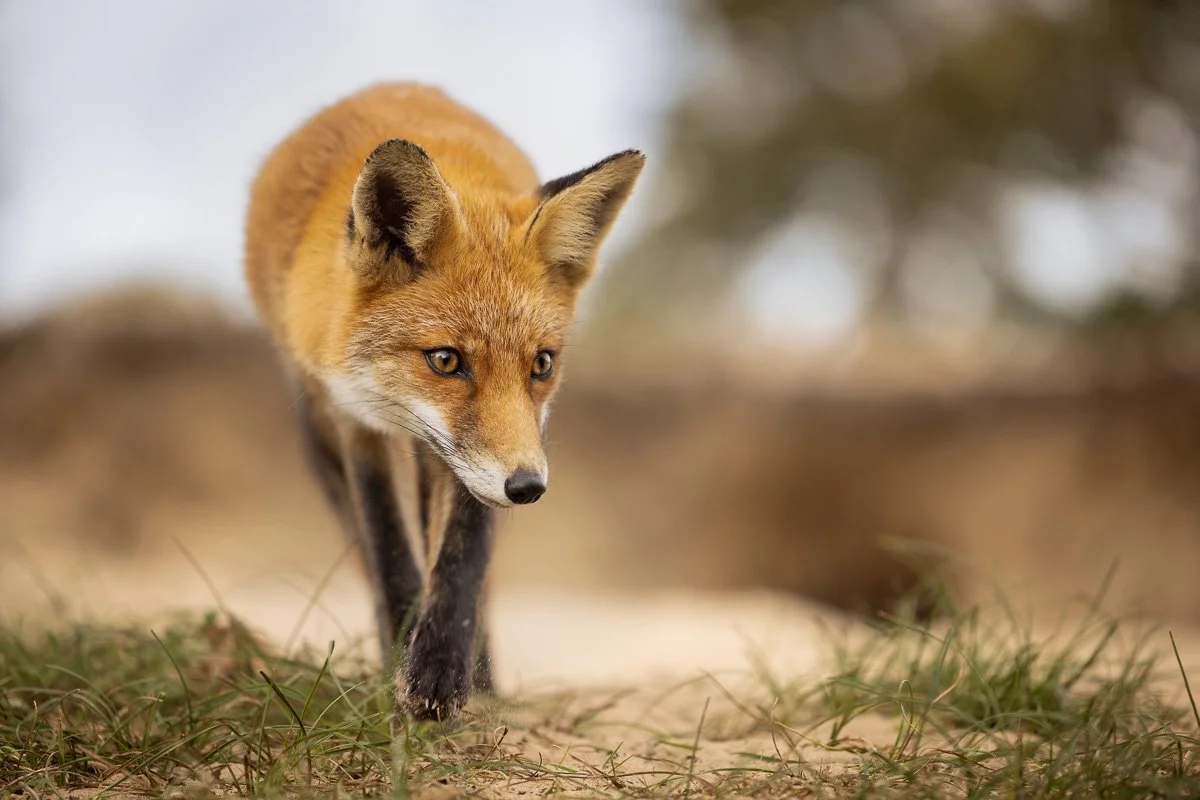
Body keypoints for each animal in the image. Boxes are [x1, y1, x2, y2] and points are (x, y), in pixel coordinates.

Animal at [243, 82, 644, 720]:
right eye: (446, 360)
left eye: (542, 364)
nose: (529, 488)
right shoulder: (354, 422)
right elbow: (387, 546)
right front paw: (402, 659)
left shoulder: (484, 458)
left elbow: (463, 553)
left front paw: (442, 674)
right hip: (321, 432)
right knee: (362, 543)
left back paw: (483, 677)